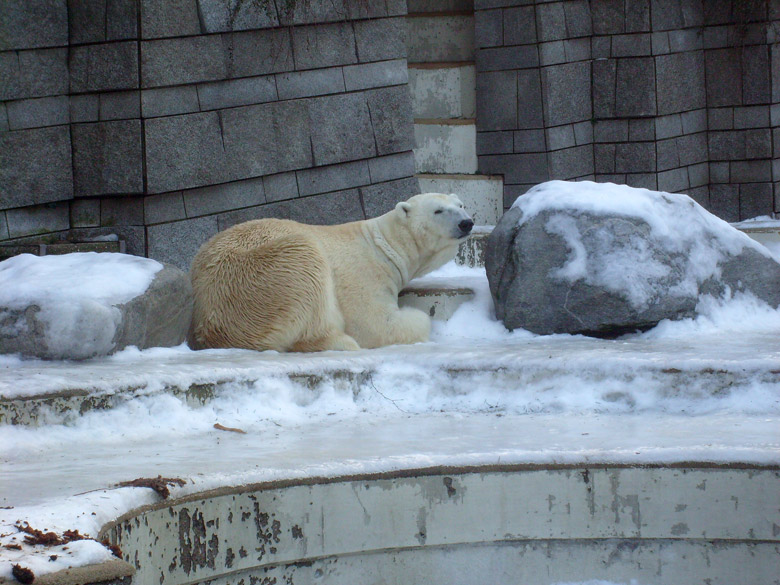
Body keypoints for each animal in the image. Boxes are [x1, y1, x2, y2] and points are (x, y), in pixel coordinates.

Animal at [187, 193, 476, 352]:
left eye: (461, 205)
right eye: (438, 210)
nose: (467, 222)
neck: (385, 244)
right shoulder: (364, 273)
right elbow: (376, 325)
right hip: (261, 275)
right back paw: (342, 342)